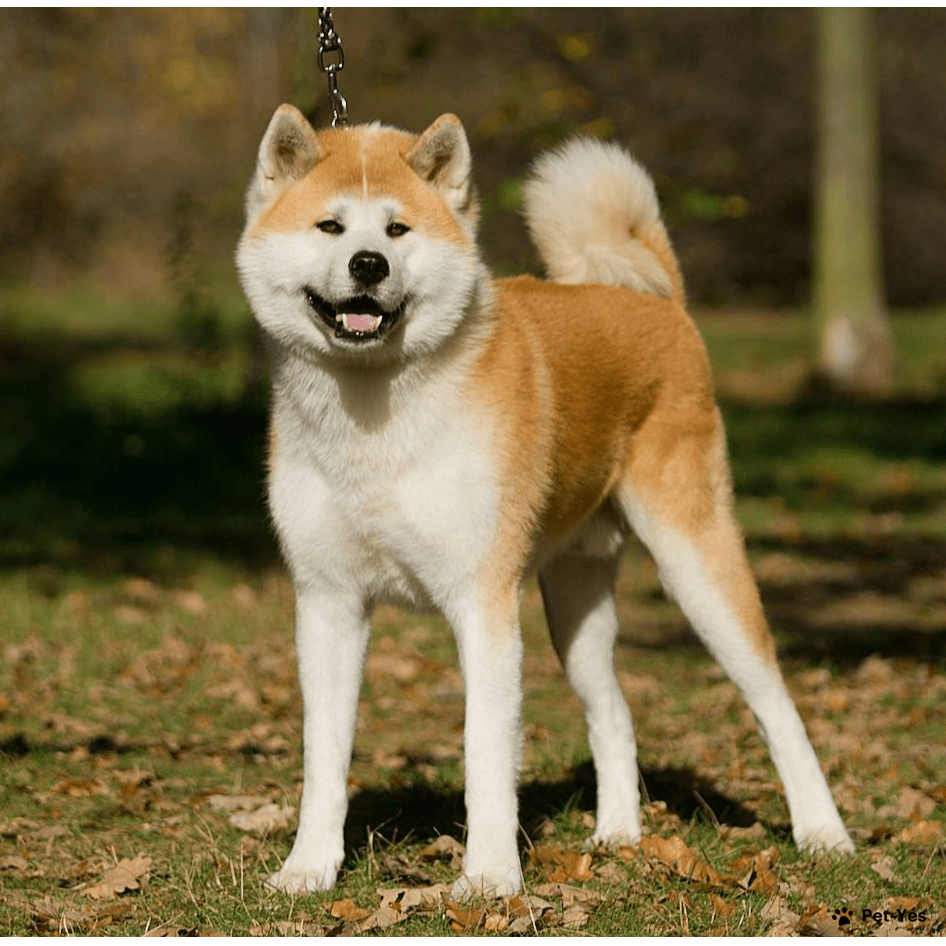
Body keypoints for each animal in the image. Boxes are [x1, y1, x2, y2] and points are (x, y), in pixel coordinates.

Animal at [234, 107, 848, 896]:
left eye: (397, 230)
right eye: (330, 226)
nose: (368, 265)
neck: (374, 414)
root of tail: (659, 303)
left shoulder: (484, 604)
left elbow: (486, 757)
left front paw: (489, 880)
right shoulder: (327, 602)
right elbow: (324, 758)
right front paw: (308, 868)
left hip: (698, 567)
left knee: (777, 706)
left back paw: (824, 834)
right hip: (576, 606)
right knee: (614, 713)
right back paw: (619, 836)